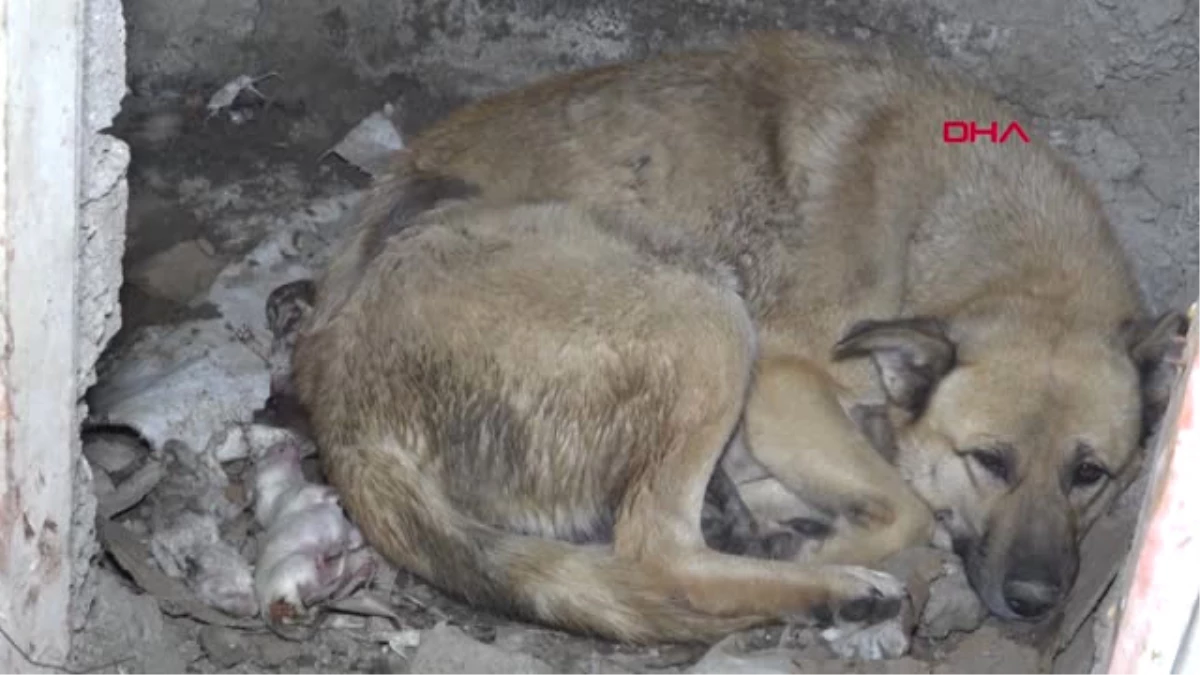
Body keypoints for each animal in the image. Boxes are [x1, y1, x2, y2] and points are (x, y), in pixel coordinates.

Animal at [292, 30, 1180, 638]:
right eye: (989, 461)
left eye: (1091, 474)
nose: (1034, 602)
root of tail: (341, 405)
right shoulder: (783, 381)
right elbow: (908, 503)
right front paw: (826, 543)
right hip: (709, 316)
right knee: (654, 551)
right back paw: (827, 583)